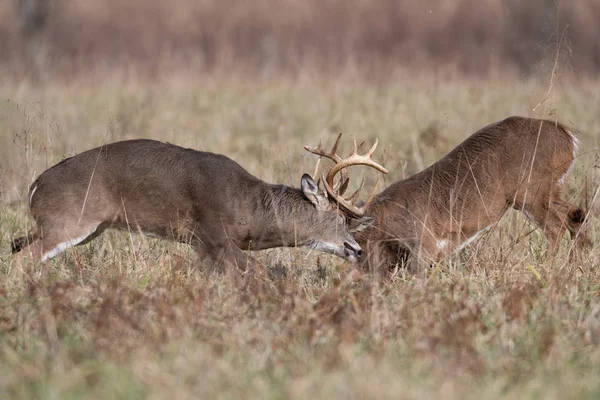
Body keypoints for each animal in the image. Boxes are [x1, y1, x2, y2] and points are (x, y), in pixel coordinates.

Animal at [10, 139, 380, 270]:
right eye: (340, 219)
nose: (357, 249)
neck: (248, 206)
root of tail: (35, 184)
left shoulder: (204, 246)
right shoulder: (213, 236)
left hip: (76, 227)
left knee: (16, 244)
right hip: (68, 221)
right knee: (23, 258)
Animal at [308, 115, 592, 272]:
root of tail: (567, 135)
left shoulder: (424, 244)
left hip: (531, 191)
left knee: (557, 226)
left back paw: (549, 268)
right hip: (550, 190)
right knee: (577, 214)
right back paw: (574, 266)